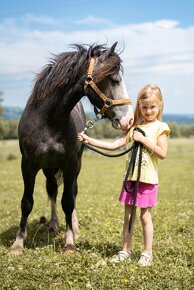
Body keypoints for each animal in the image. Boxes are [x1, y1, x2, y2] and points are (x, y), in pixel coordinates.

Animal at [9, 41, 133, 254]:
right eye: (114, 79)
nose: (129, 119)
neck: (48, 120)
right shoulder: (28, 165)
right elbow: (27, 202)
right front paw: (18, 243)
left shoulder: (70, 165)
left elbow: (68, 201)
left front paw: (69, 242)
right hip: (49, 168)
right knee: (52, 190)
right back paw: (53, 223)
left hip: (75, 166)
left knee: (72, 193)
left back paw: (74, 228)